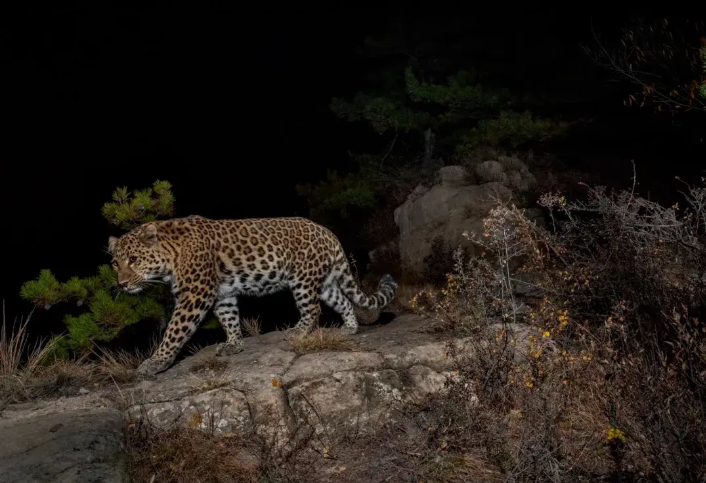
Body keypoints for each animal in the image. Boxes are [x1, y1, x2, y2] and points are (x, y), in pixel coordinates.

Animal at [108, 216, 396, 378]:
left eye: (133, 259)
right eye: (114, 263)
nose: (122, 284)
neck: (170, 257)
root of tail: (329, 233)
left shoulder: (195, 294)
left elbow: (174, 331)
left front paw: (155, 362)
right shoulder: (222, 293)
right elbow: (228, 318)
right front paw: (234, 344)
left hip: (302, 279)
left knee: (312, 309)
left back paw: (298, 332)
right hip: (324, 282)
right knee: (342, 300)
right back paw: (350, 328)